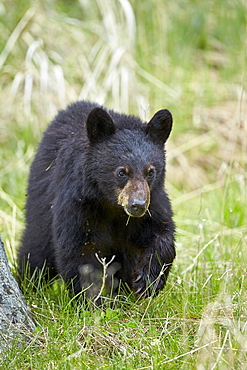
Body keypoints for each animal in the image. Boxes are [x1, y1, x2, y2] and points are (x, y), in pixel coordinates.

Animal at [17, 102, 176, 300]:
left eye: (151, 172)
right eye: (122, 172)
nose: (137, 205)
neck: (112, 206)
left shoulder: (154, 202)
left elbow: (163, 233)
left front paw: (147, 281)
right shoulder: (79, 204)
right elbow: (79, 253)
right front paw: (90, 300)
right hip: (40, 207)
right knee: (36, 252)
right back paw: (28, 285)